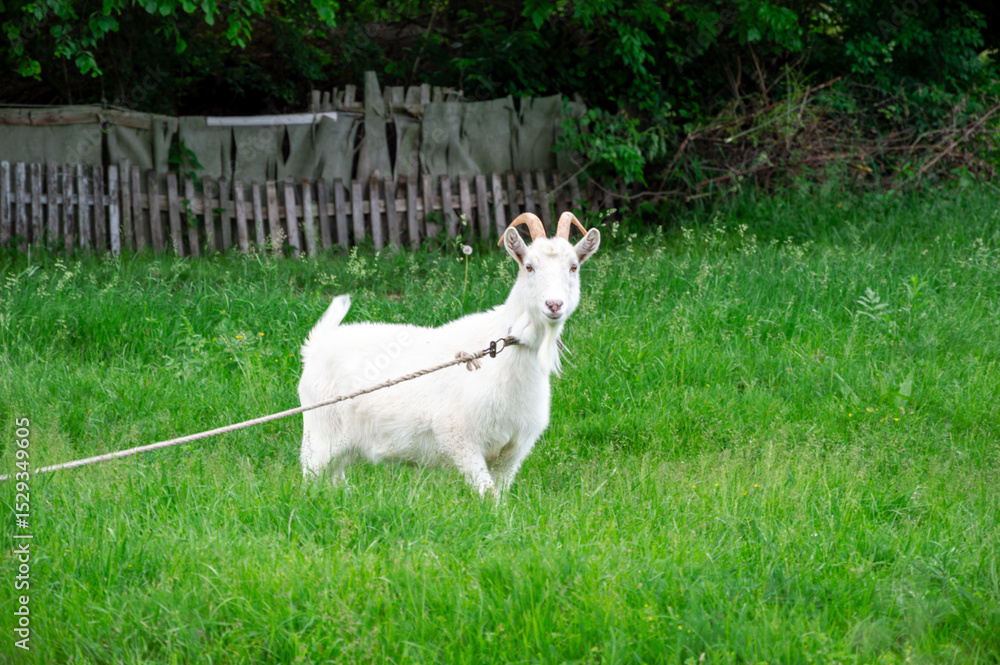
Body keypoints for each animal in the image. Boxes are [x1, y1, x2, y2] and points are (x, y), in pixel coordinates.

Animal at [298, 211, 600, 497]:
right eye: (529, 266)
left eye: (573, 267)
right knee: (311, 479)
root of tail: (316, 344)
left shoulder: (512, 451)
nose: (554, 304)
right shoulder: (460, 438)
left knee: (335, 479)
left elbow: (500, 497)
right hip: (319, 436)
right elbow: (487, 494)